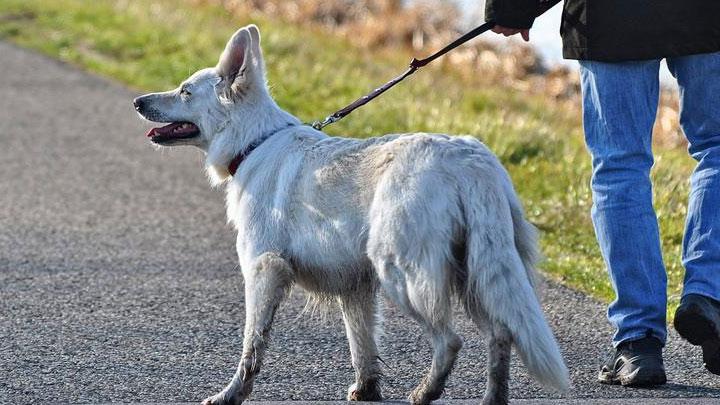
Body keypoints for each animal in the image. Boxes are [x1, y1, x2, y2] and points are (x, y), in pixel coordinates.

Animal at [132, 24, 564, 404]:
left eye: (185, 91)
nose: (138, 102)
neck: (254, 143)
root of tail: (470, 160)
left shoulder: (263, 270)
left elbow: (252, 347)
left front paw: (230, 395)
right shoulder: (355, 288)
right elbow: (362, 347)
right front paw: (367, 390)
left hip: (403, 274)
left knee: (450, 340)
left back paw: (425, 393)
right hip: (476, 274)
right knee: (501, 334)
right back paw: (492, 398)